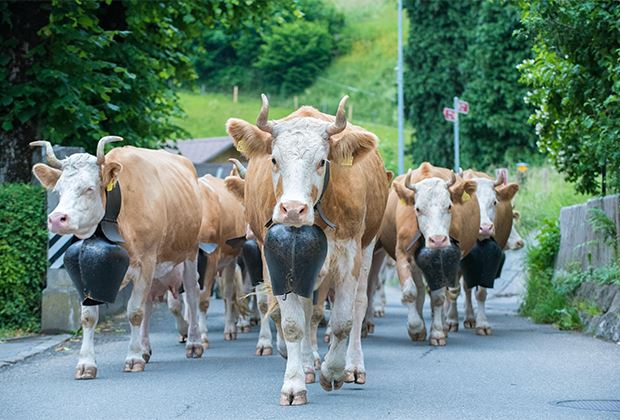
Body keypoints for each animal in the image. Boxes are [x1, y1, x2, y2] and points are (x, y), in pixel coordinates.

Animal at [30, 136, 203, 378]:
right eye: (58, 190)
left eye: (89, 188)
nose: (56, 219)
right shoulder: (88, 275)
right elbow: (89, 316)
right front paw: (86, 363)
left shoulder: (146, 261)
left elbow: (135, 312)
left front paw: (132, 358)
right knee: (149, 303)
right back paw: (145, 348)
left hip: (190, 252)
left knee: (192, 294)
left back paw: (194, 343)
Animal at [223, 94, 388, 404]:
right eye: (274, 159)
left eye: (322, 161)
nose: (292, 209)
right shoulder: (276, 259)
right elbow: (292, 323)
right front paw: (294, 383)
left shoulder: (349, 256)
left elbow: (342, 321)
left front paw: (333, 371)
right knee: (309, 311)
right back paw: (308, 363)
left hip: (368, 246)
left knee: (359, 305)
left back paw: (353, 366)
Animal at [376, 162, 478, 346]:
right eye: (418, 209)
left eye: (449, 206)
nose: (437, 240)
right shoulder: (402, 256)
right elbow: (410, 292)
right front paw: (416, 327)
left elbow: (438, 297)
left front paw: (437, 332)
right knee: (421, 291)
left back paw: (443, 326)